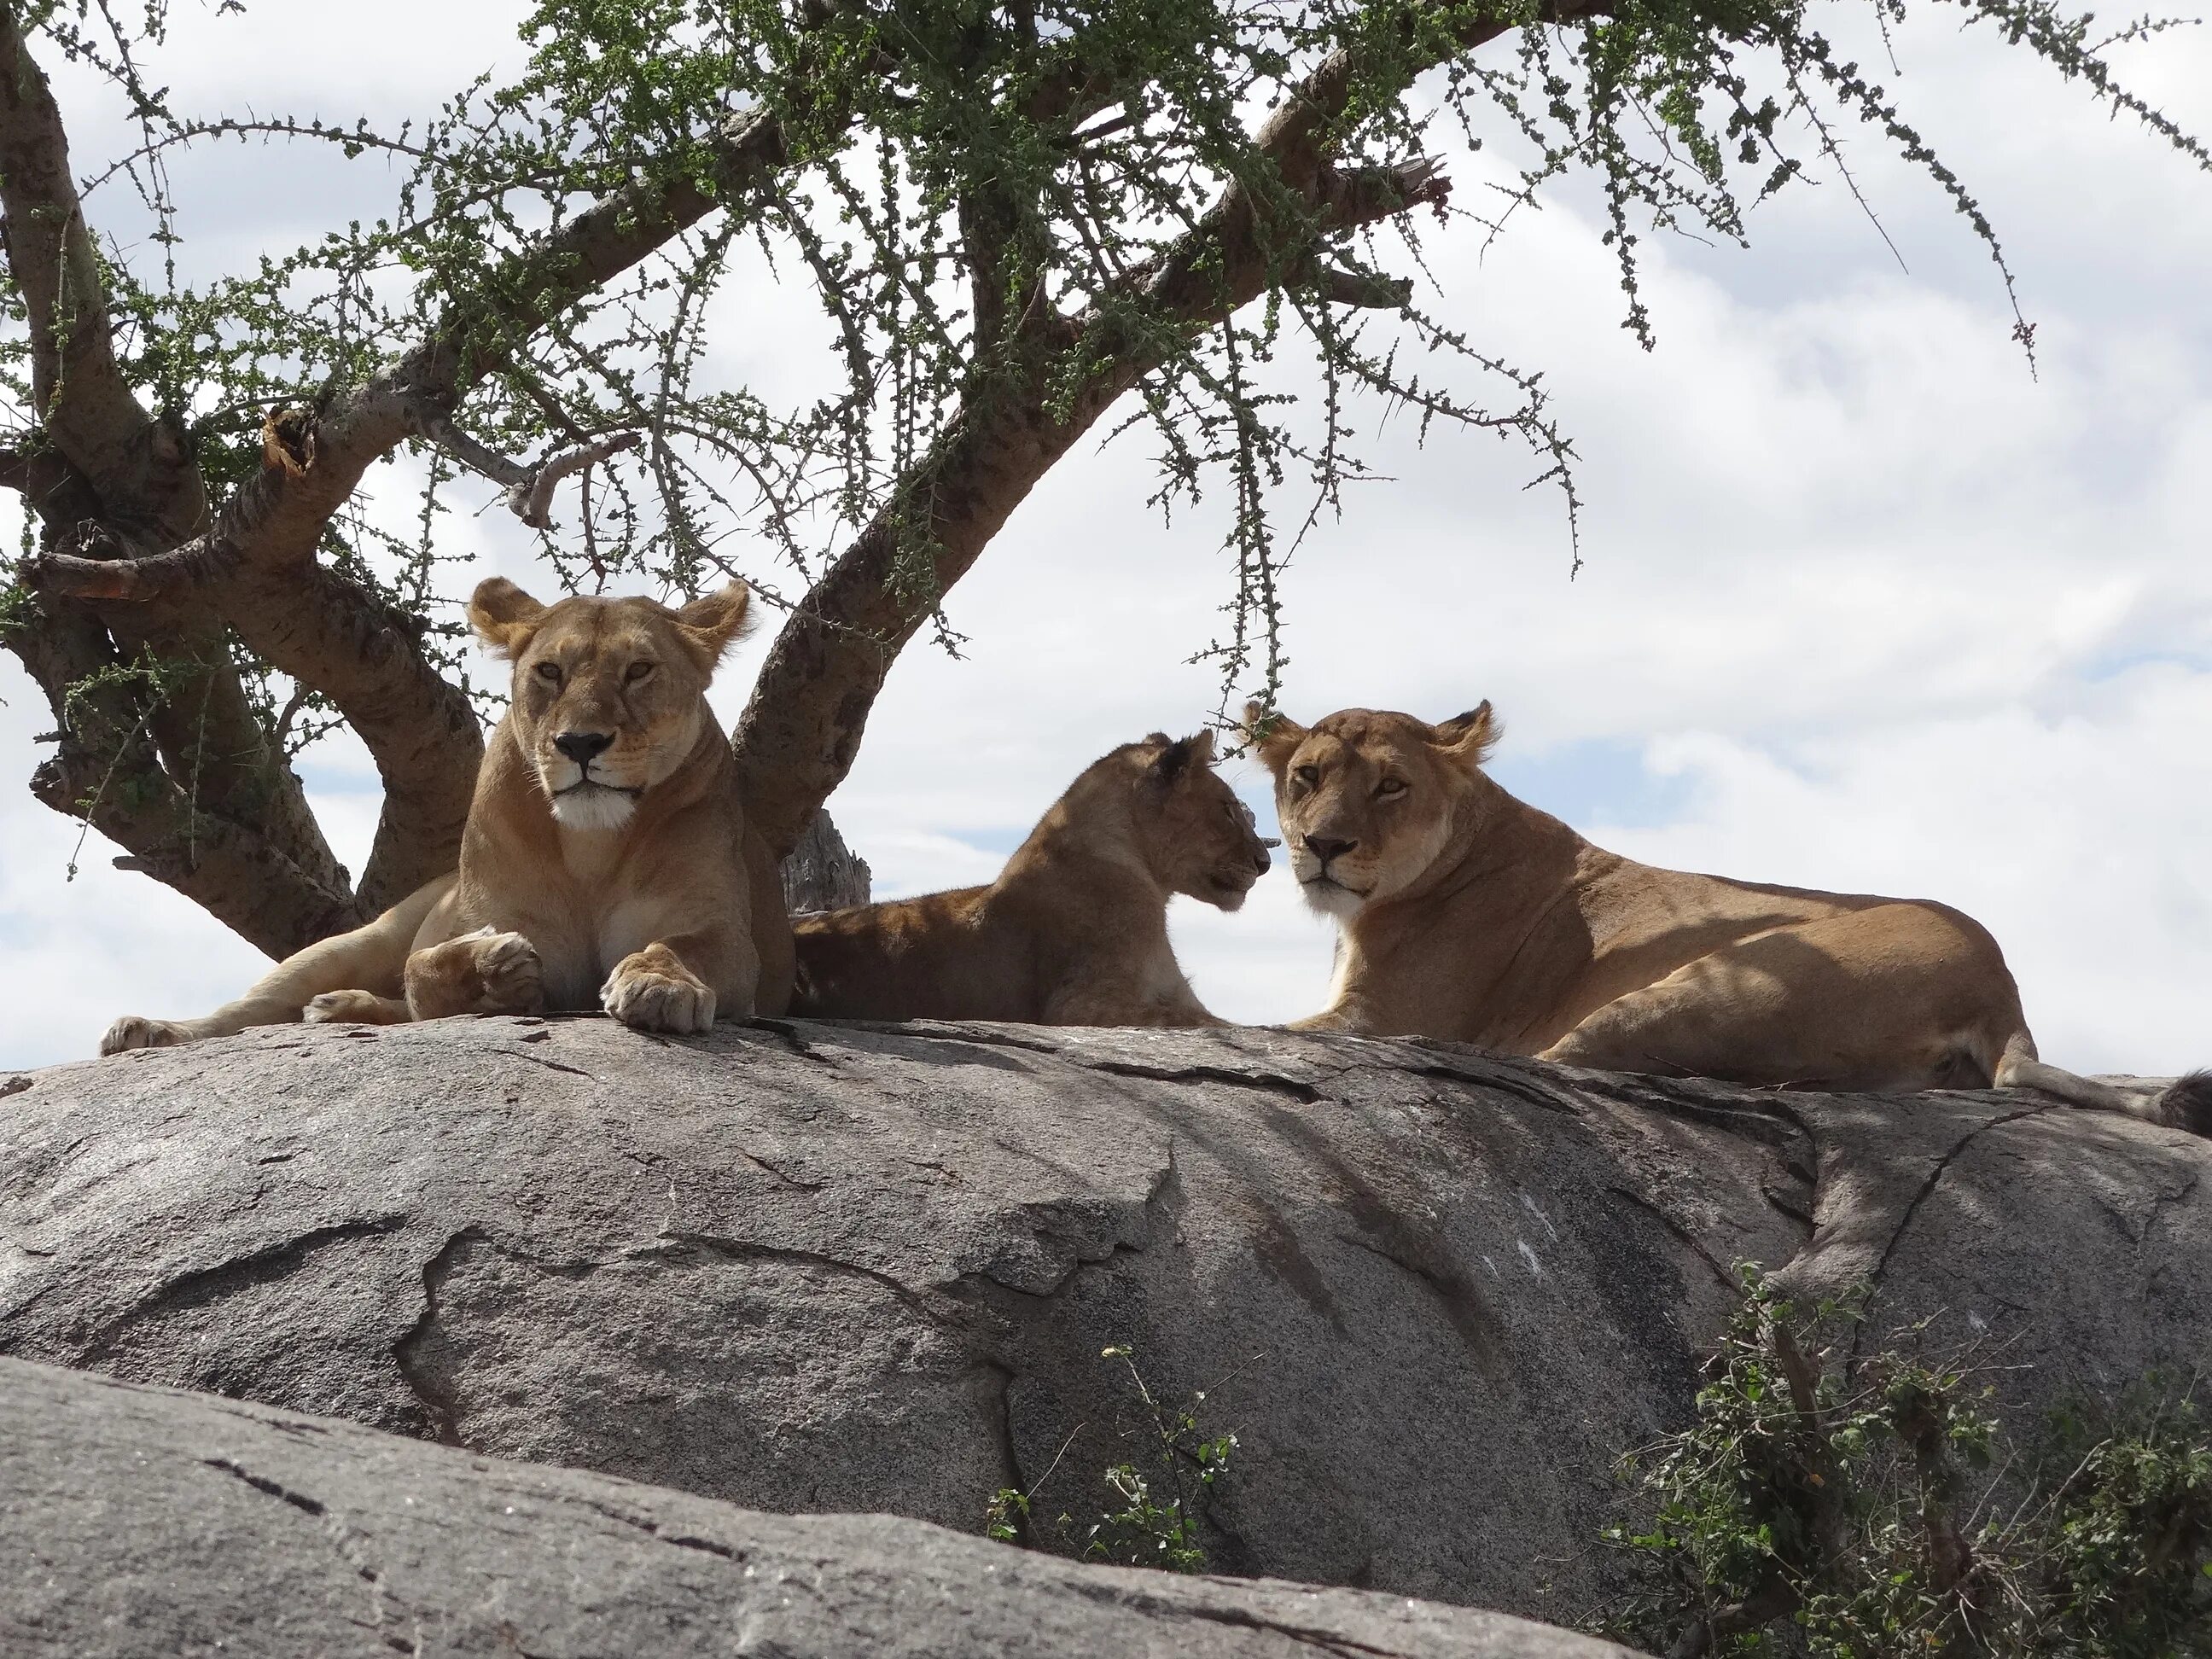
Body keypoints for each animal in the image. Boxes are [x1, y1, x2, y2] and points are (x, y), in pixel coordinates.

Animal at [105, 579, 796, 1057]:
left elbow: (682, 947)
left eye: (639, 670)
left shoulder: (726, 937)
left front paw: (659, 985)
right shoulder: (490, 920)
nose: (579, 743)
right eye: (550, 671)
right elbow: (424, 970)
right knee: (251, 1008)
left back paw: (337, 1009)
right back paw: (150, 1030)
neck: (592, 847)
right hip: (359, 938)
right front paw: (492, 970)